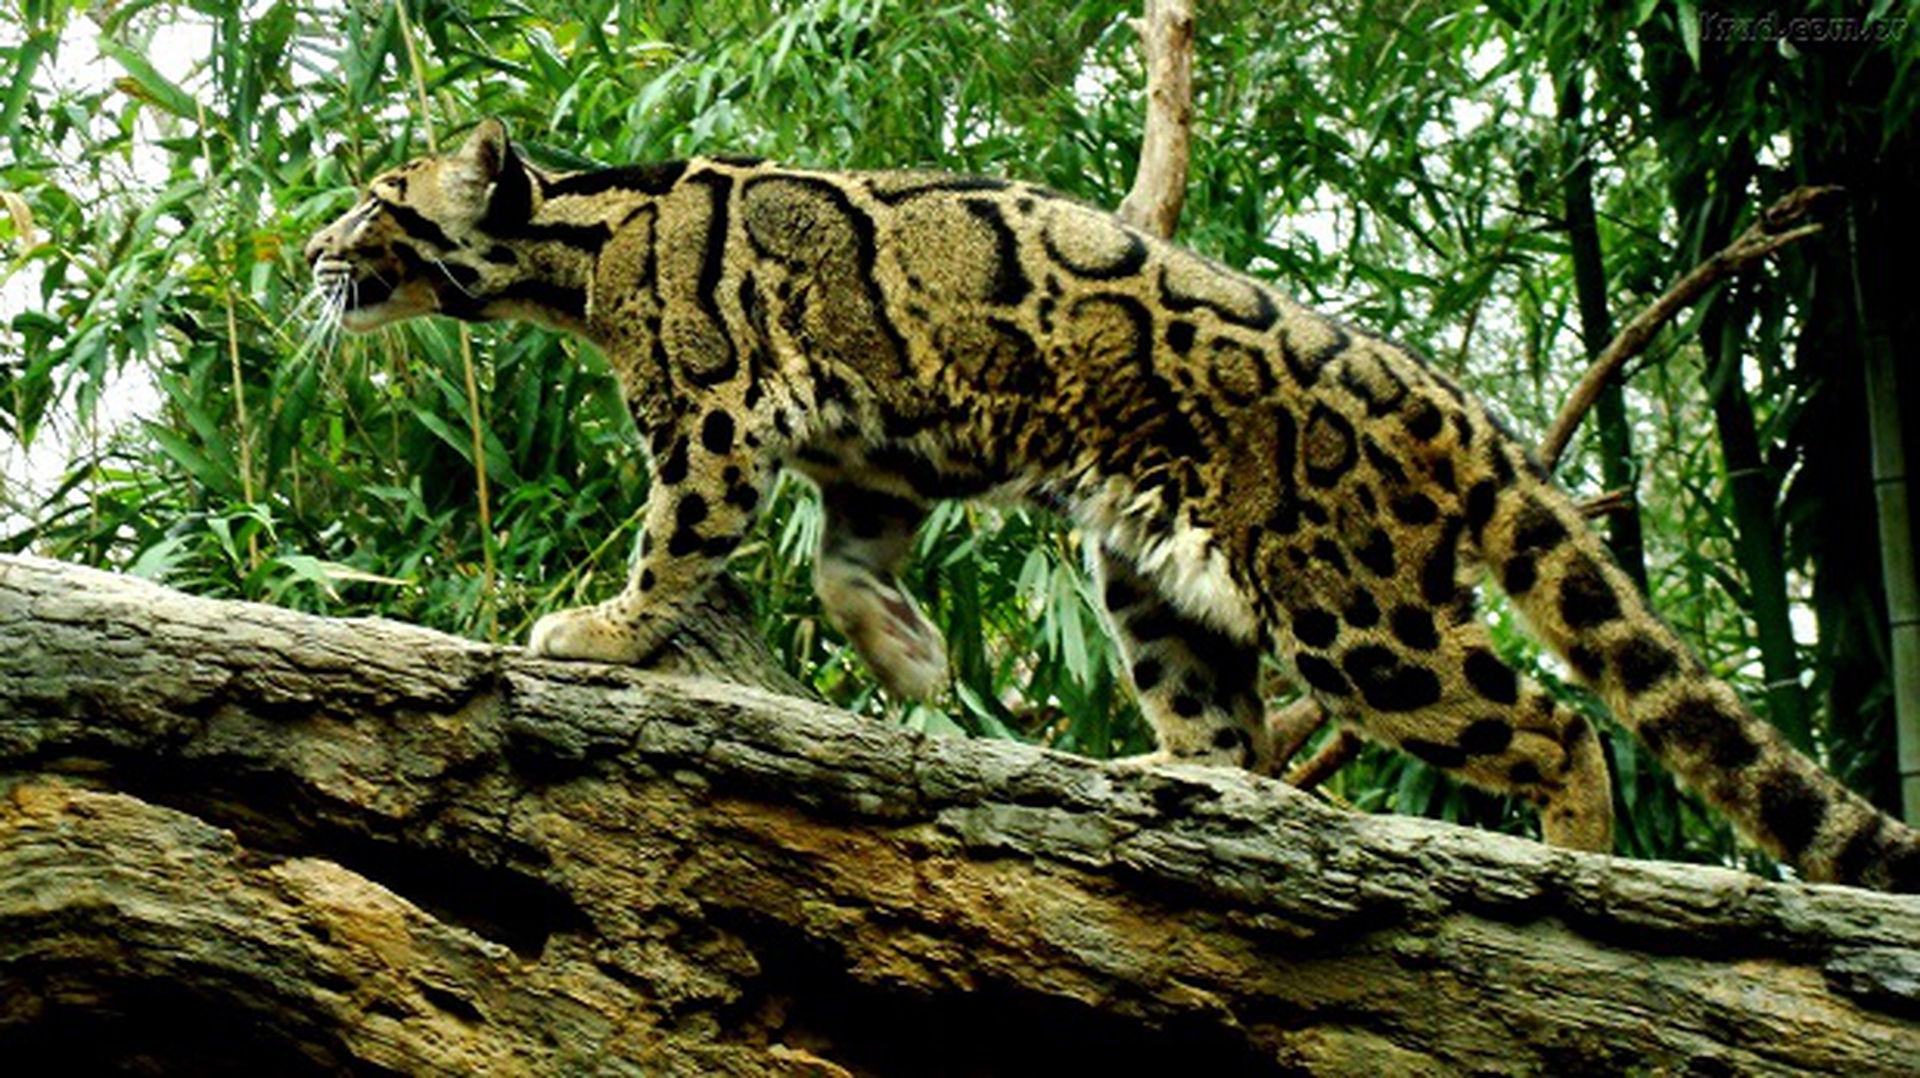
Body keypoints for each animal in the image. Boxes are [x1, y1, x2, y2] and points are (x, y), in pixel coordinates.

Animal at [305, 118, 1919, 892]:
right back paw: (1176, 777)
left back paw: (1574, 861)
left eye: (377, 201)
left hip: (1354, 611)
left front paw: (602, 630)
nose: (312, 252)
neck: (583, 248)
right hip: (1153, 579)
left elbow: (676, 540)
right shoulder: (876, 457)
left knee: (1556, 723)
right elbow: (845, 567)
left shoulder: (713, 410)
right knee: (1235, 734)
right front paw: (913, 658)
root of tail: (1453, 401)